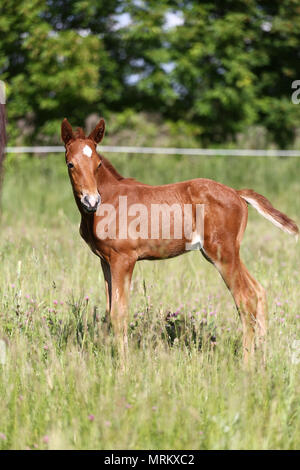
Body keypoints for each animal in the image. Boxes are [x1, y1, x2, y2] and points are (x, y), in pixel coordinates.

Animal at [61, 117, 298, 364]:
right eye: (71, 164)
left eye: (98, 164)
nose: (91, 201)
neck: (108, 202)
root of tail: (236, 193)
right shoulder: (105, 260)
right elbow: (109, 311)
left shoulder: (123, 259)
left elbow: (119, 313)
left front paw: (123, 367)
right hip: (229, 252)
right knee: (259, 291)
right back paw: (262, 358)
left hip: (222, 254)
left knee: (246, 298)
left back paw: (247, 364)